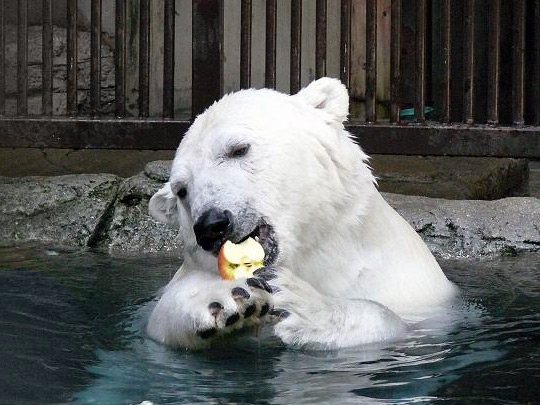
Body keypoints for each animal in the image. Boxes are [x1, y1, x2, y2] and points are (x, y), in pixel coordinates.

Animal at [147, 77, 456, 348]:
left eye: (238, 149)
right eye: (181, 190)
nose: (210, 225)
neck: (309, 258)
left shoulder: (408, 288)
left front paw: (305, 306)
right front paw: (225, 299)